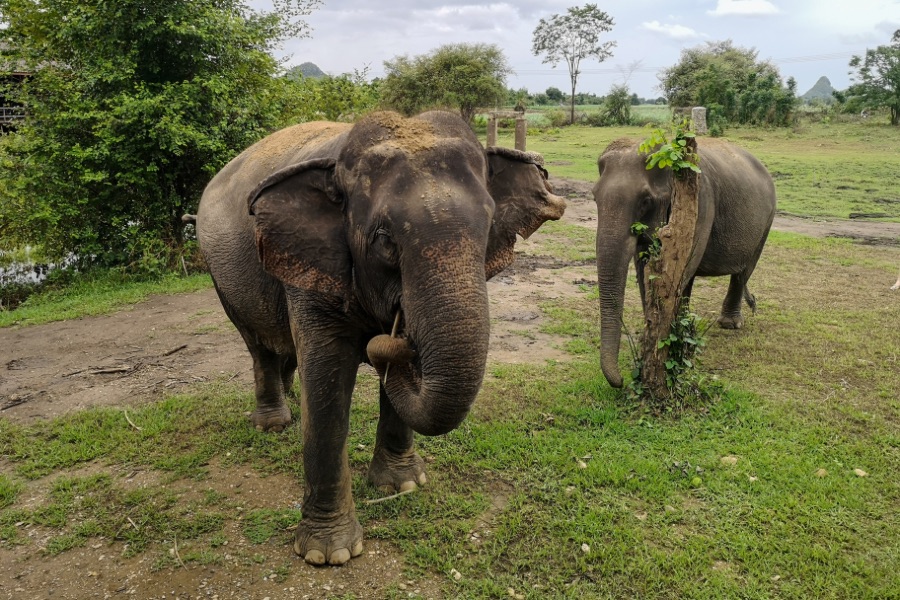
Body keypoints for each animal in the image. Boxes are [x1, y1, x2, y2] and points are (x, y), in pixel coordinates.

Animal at [197, 110, 568, 564]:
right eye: (385, 240)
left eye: (487, 228)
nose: (389, 345)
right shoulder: (312, 273)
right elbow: (326, 380)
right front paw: (328, 554)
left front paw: (402, 486)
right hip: (221, 274)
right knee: (258, 345)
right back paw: (273, 424)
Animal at [596, 137, 776, 390]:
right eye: (594, 196)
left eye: (645, 201)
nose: (621, 380)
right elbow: (645, 267)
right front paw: (650, 331)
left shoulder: (701, 200)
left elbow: (688, 258)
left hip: (767, 223)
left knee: (743, 271)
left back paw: (730, 324)